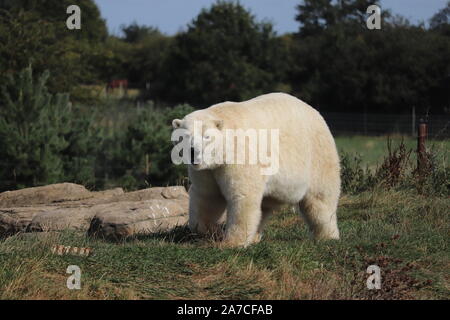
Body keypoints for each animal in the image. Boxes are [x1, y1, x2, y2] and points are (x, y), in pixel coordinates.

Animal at [172, 92, 342, 248]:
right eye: (185, 136)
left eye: (206, 136)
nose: (193, 152)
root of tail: (317, 114)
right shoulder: (207, 170)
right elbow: (207, 196)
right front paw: (210, 232)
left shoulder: (240, 156)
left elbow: (243, 195)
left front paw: (232, 243)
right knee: (264, 206)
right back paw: (255, 236)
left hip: (317, 155)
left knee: (320, 199)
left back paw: (328, 236)